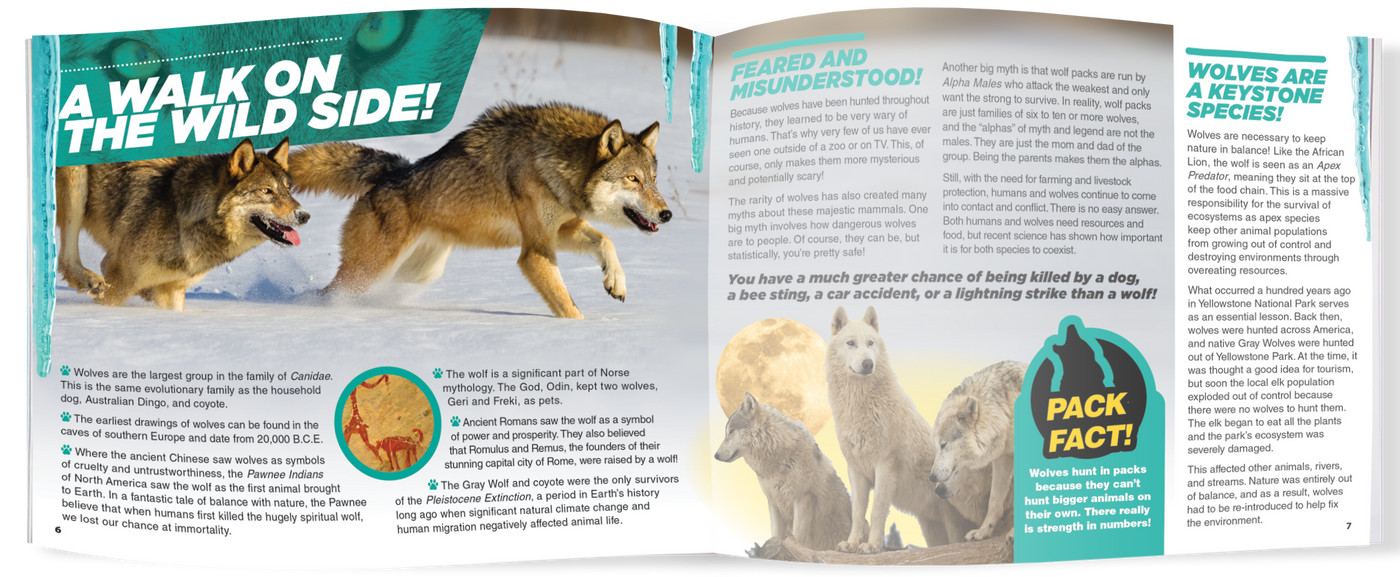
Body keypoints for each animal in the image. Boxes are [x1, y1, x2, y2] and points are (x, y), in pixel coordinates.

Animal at [57, 138, 307, 311]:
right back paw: (90, 280)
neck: (184, 219)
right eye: (266, 191)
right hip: (76, 185)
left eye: (288, 190)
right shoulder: (120, 279)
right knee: (65, 257)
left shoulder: (172, 291)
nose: (304, 216)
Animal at [288, 102, 671, 318]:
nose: (666, 214)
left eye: (653, 179)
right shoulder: (534, 252)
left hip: (418, 272)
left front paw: (615, 282)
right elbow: (569, 308)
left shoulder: (559, 231)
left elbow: (606, 241)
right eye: (633, 179)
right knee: (331, 293)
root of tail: (391, 171)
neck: (553, 161)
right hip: (371, 271)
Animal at [715, 392, 853, 551]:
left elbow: (797, 538)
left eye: (731, 431)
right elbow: (775, 535)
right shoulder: (774, 502)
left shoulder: (803, 498)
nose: (715, 456)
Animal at [826, 306, 980, 553]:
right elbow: (857, 512)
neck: (860, 404)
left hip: (954, 525)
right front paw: (851, 543)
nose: (868, 363)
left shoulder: (884, 466)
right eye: (851, 343)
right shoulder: (856, 470)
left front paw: (871, 546)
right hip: (933, 530)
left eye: (870, 343)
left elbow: (876, 511)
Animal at [929, 360, 1026, 541]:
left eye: (944, 444)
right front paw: (982, 532)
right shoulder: (1003, 459)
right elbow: (994, 501)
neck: (1006, 411)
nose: (932, 478)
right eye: (936, 446)